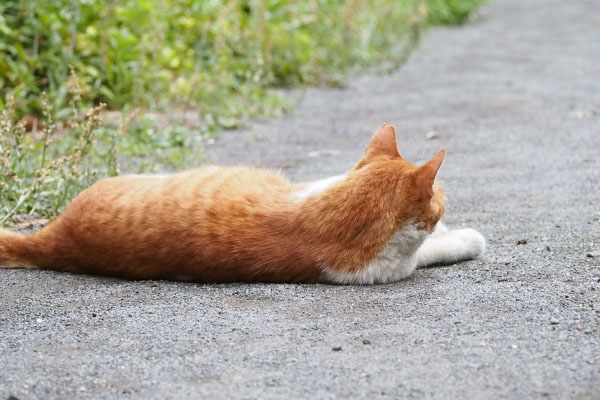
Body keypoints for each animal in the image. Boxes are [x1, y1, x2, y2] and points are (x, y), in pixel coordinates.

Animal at [0, 123, 486, 282]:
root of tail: (55, 239)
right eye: (440, 195)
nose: (447, 196)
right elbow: (437, 245)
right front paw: (460, 235)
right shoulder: (397, 262)